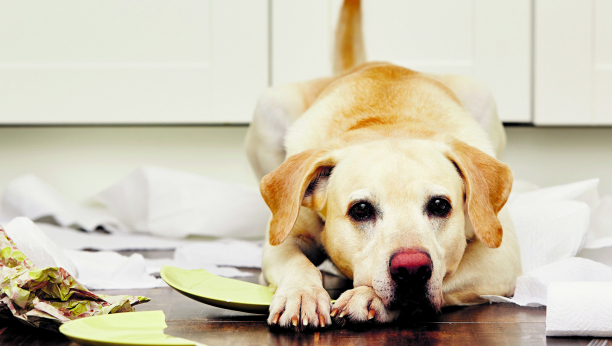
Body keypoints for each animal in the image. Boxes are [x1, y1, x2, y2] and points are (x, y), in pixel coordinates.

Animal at [244, 0, 520, 330]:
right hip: (269, 105)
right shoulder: (283, 239)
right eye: (361, 210)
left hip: (480, 93)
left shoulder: (502, 257)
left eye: (440, 205)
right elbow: (296, 262)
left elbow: (449, 273)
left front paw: (367, 297)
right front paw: (302, 293)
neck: (387, 122)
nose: (412, 269)